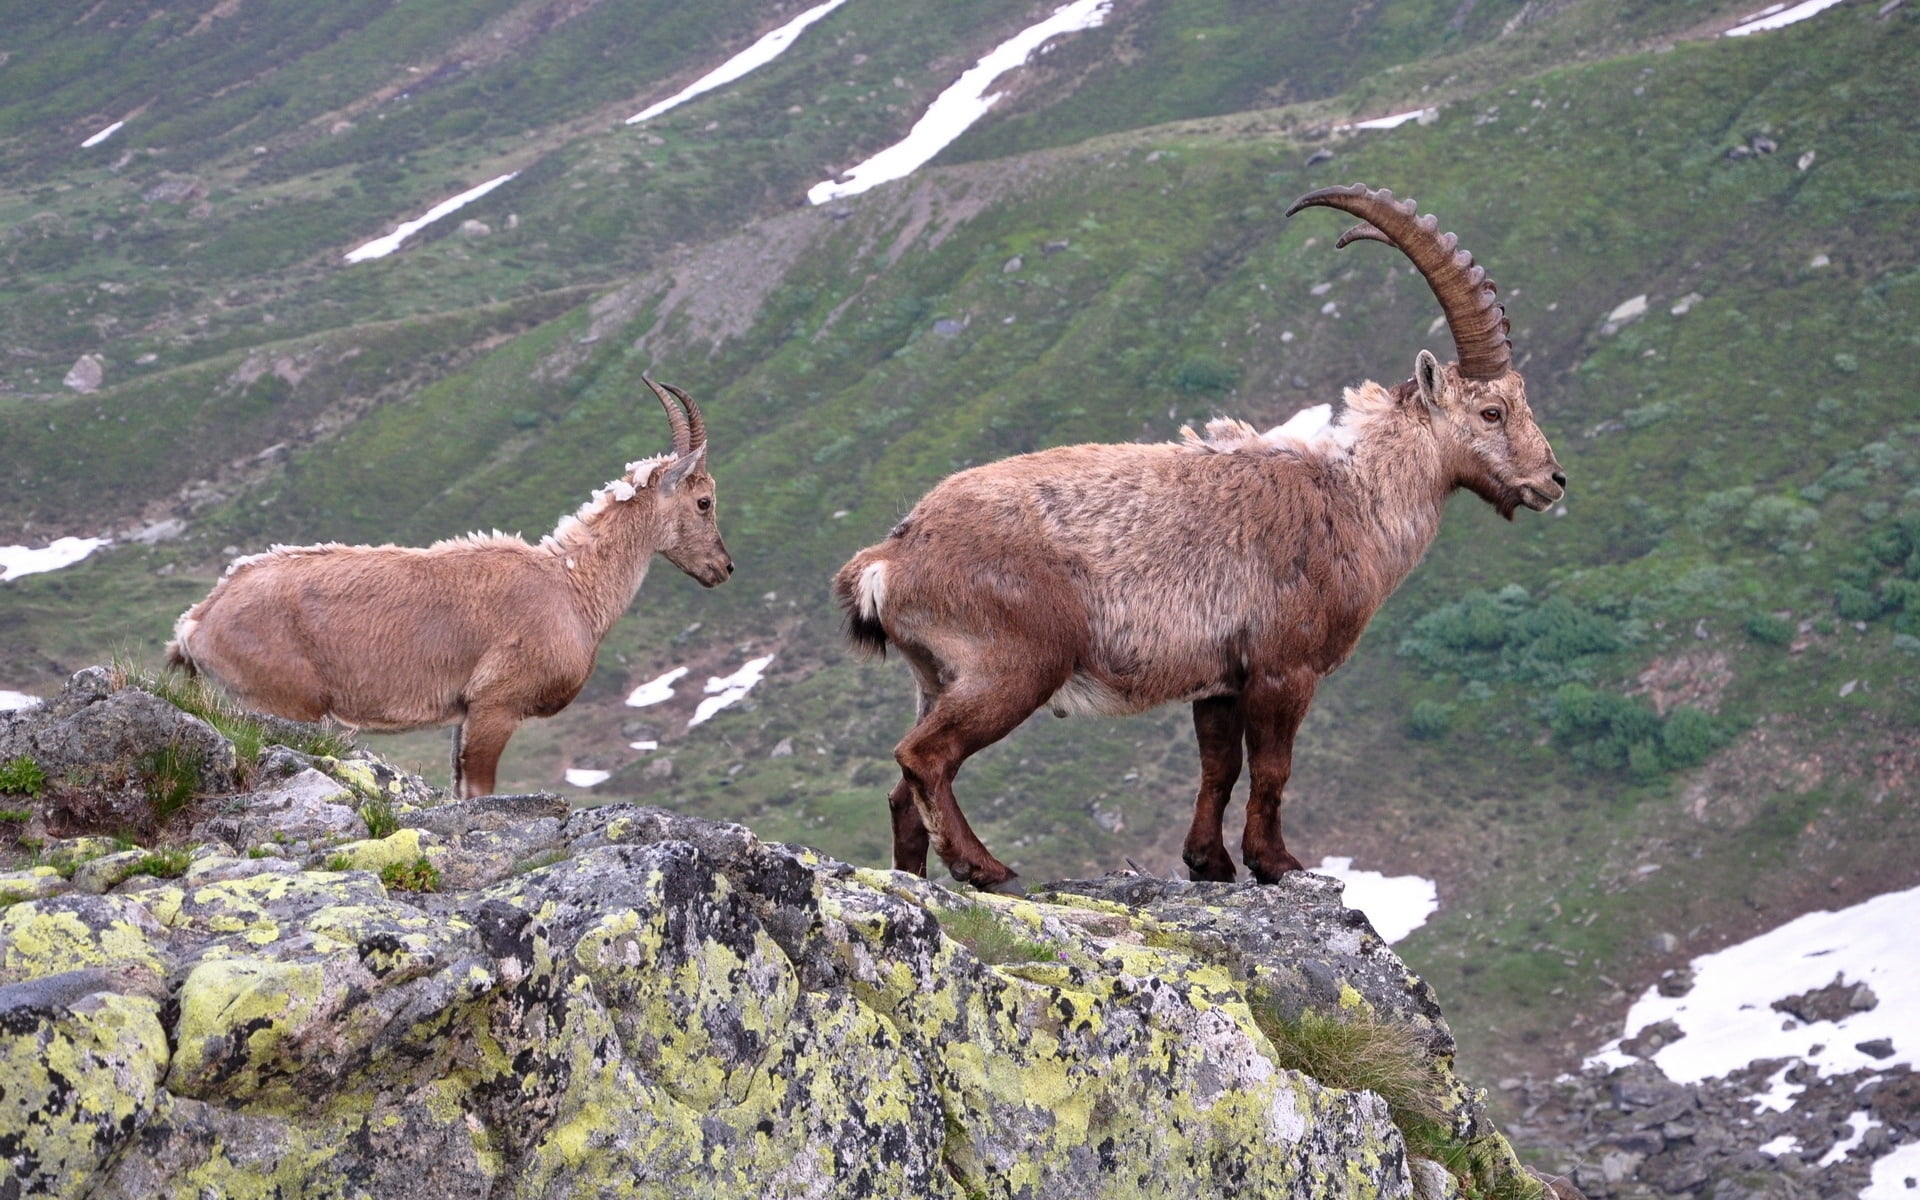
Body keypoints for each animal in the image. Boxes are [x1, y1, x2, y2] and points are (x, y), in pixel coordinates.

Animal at [167, 378, 731, 798]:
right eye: (704, 501)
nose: (724, 568)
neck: (570, 587)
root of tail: (196, 623)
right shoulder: (496, 705)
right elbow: (479, 791)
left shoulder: (464, 713)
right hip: (280, 703)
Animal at [832, 183, 1565, 891]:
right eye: (1491, 411)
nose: (1553, 480)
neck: (1351, 499)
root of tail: (891, 556)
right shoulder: (1282, 668)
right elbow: (1271, 768)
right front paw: (1275, 863)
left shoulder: (1218, 680)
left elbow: (1219, 768)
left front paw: (1208, 863)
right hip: (1011, 667)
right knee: (923, 757)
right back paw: (986, 868)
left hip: (937, 677)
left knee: (903, 791)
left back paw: (921, 877)